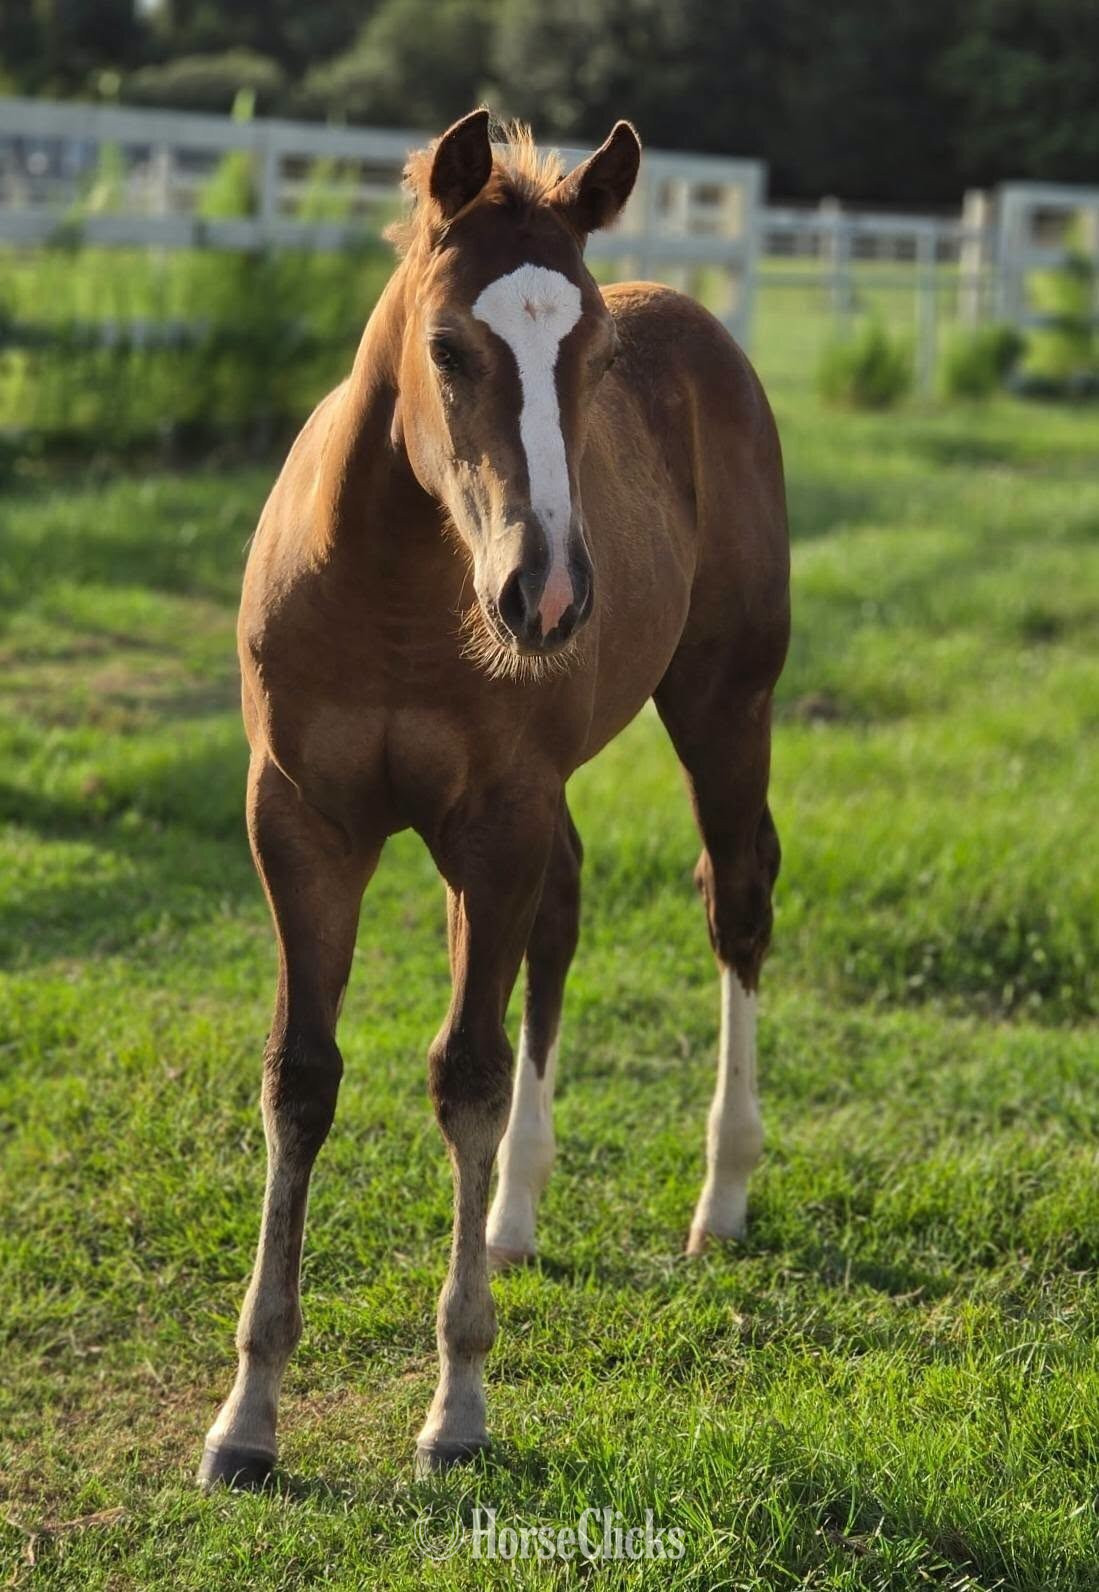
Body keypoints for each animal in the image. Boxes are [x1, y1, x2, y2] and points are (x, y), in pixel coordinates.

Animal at [197, 109, 789, 1488]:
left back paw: (720, 1196)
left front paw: (458, 1406)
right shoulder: (300, 825)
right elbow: (300, 1076)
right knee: (563, 918)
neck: (392, 594)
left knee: (736, 898)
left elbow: (461, 1071)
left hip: (724, 707)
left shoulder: (491, 821)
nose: (550, 593)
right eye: (448, 346)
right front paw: (247, 1415)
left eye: (594, 355)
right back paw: (517, 1212)